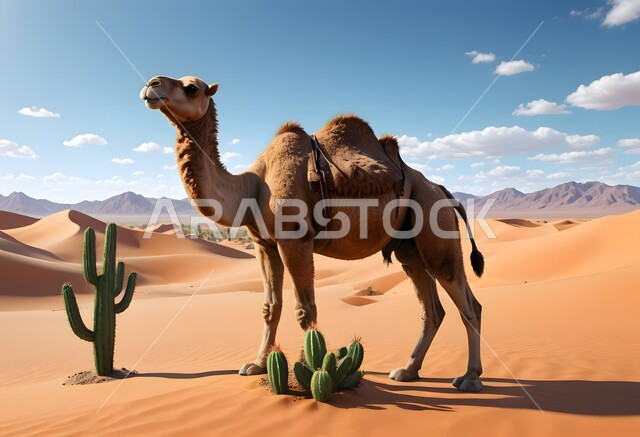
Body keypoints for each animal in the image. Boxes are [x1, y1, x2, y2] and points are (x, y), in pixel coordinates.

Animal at [140, 75, 486, 392]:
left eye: (191, 88)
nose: (151, 85)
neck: (253, 184)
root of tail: (442, 190)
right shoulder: (264, 244)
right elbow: (270, 307)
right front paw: (256, 364)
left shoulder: (295, 240)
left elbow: (305, 309)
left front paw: (311, 375)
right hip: (408, 248)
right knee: (432, 308)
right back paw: (407, 370)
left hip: (434, 221)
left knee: (468, 304)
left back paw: (469, 378)